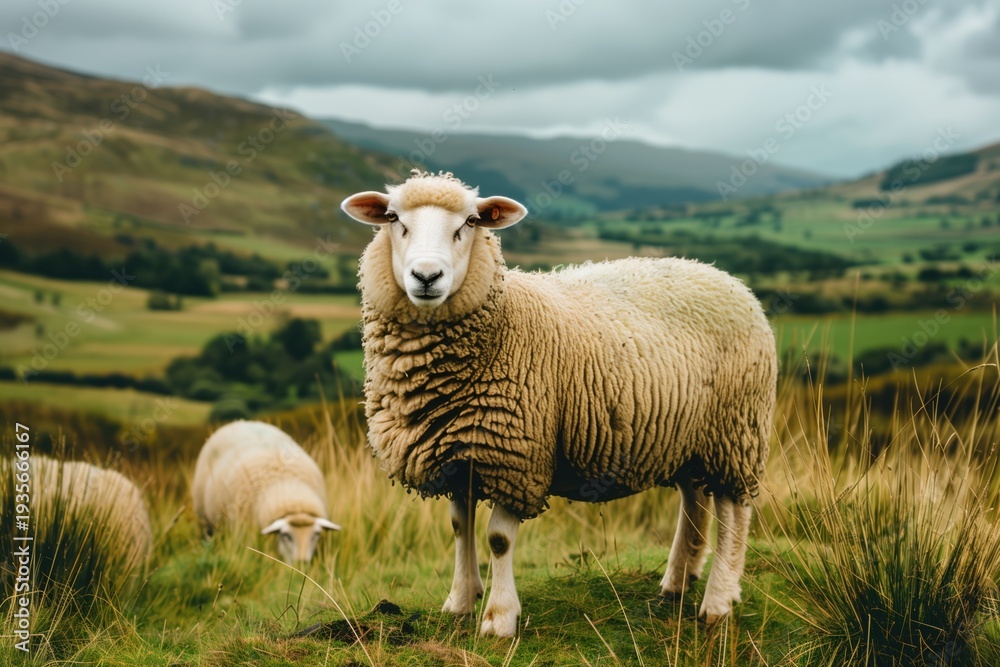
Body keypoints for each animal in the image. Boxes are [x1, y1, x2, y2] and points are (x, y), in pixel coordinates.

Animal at [191, 420, 340, 563]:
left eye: (316, 534)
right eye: (286, 535)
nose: (302, 563)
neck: (287, 486)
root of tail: (239, 422)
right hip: (205, 519)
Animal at [341, 170, 777, 636]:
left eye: (471, 222)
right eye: (392, 218)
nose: (426, 276)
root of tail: (726, 278)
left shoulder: (516, 456)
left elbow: (498, 539)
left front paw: (499, 618)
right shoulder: (458, 453)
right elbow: (460, 527)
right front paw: (460, 602)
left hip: (736, 431)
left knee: (734, 511)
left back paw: (718, 602)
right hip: (688, 436)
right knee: (694, 500)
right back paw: (676, 584)